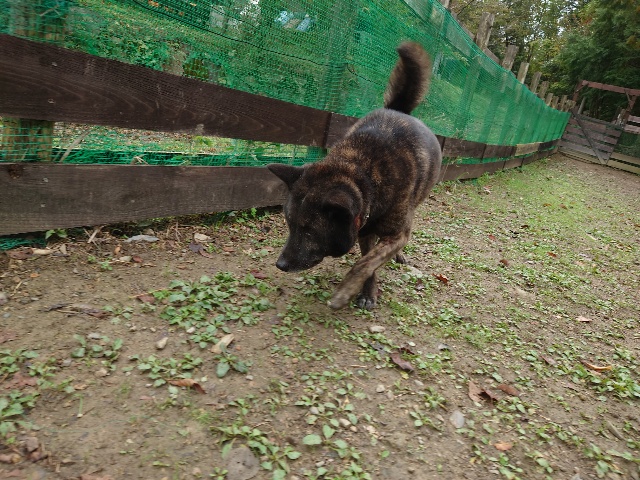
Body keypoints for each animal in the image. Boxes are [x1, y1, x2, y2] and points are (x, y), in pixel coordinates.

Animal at [267, 42, 442, 310]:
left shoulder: (396, 234)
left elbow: (365, 263)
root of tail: (398, 110)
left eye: (309, 231)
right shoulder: (365, 230)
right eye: (289, 224)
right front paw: (367, 291)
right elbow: (369, 262)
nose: (280, 265)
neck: (363, 173)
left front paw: (346, 290)